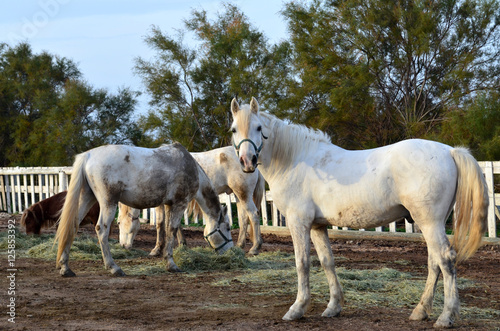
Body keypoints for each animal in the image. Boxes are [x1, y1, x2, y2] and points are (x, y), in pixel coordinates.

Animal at [53, 143, 233, 278]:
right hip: (108, 202)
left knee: (72, 225)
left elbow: (165, 228)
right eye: (228, 228)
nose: (231, 250)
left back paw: (65, 267)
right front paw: (171, 264)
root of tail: (88, 155)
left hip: (87, 197)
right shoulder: (178, 204)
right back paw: (113, 267)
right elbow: (172, 230)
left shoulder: (167, 205)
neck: (189, 165)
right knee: (101, 229)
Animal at [118, 148, 266, 256]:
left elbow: (161, 224)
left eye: (119, 223)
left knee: (254, 215)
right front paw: (181, 244)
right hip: (238, 195)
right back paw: (240, 245)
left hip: (243, 194)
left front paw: (156, 249)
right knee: (244, 218)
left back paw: (255, 248)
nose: (124, 246)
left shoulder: (163, 203)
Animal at [230, 97, 488, 328]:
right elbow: (327, 261)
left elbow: (302, 263)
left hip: (430, 222)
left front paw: (297, 309)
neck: (294, 160)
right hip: (430, 223)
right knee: (434, 262)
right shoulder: (317, 226)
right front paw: (333, 307)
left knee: (446, 259)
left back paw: (446, 317)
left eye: (259, 128)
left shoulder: (298, 223)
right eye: (233, 130)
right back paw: (420, 311)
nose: (247, 161)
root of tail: (450, 151)